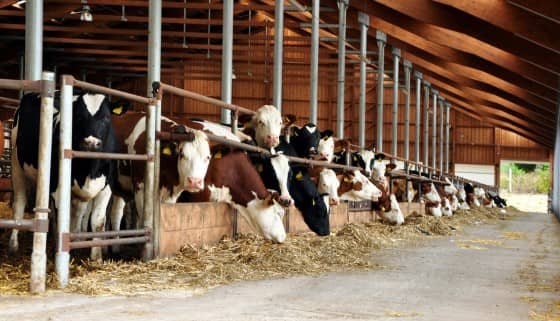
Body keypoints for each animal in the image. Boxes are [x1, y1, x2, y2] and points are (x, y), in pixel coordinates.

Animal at [9, 90, 123, 260]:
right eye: (79, 117)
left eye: (106, 118)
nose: (91, 143)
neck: (89, 168)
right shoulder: (58, 188)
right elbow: (61, 220)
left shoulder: (106, 187)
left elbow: (97, 221)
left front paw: (96, 257)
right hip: (17, 166)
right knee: (19, 204)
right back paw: (13, 244)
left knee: (78, 211)